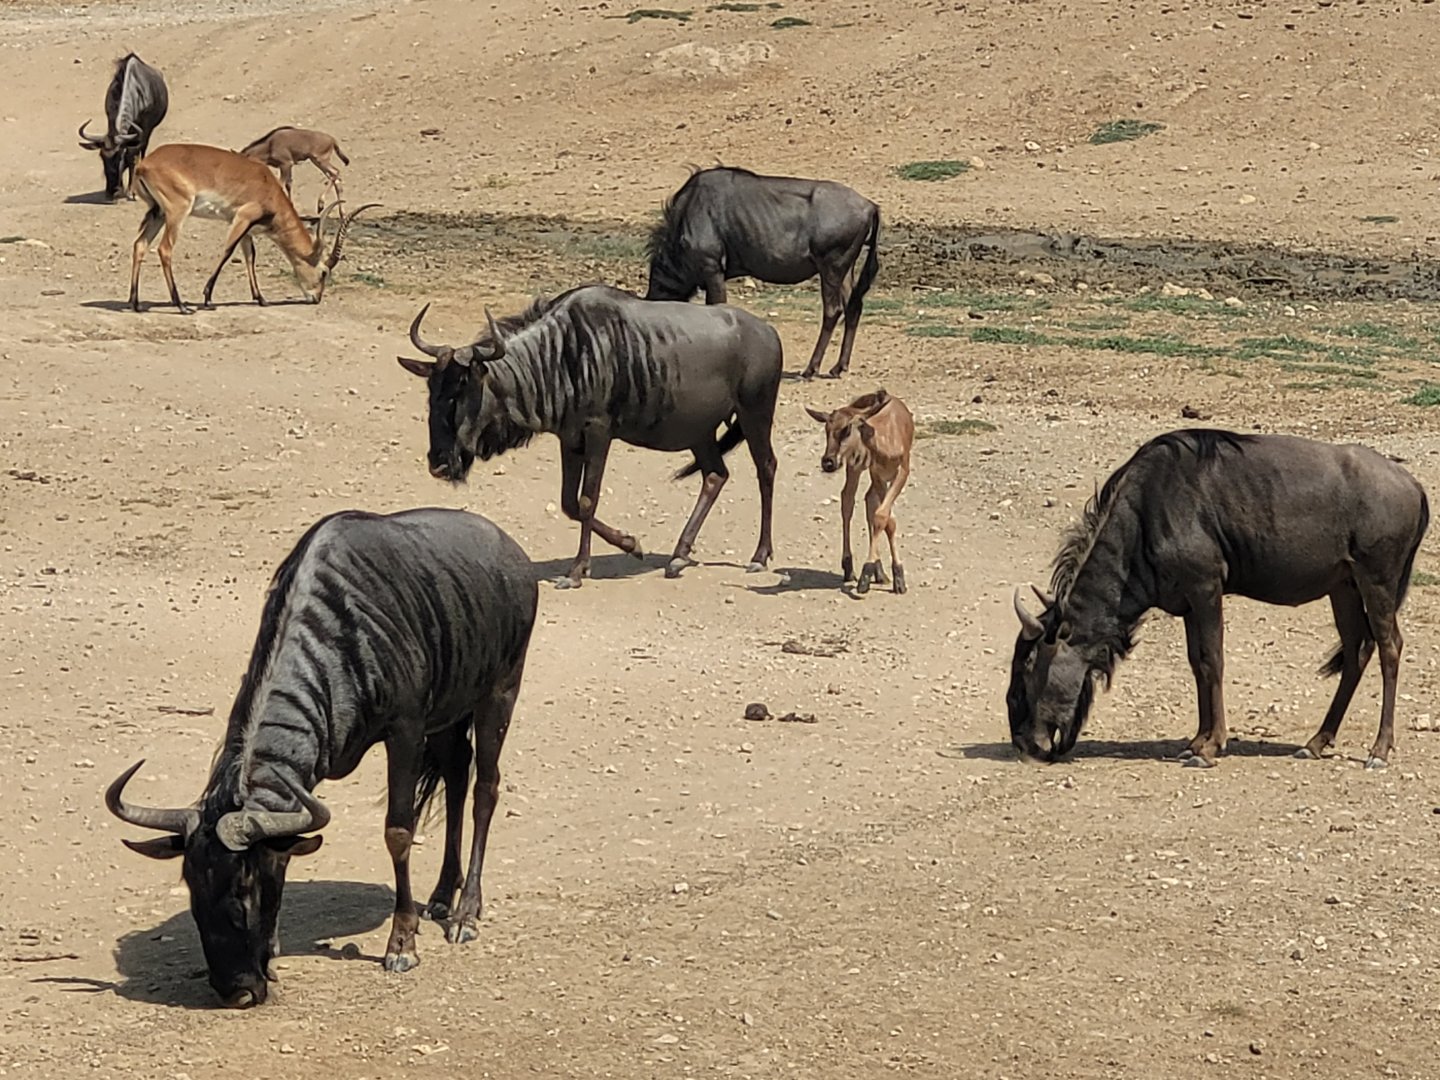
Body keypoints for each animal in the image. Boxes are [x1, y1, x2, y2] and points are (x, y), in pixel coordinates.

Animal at [127, 143, 378, 313]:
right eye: (324, 272)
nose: (316, 298)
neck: (268, 186)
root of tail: (144, 164)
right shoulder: (242, 217)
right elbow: (228, 252)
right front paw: (208, 299)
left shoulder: (246, 227)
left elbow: (250, 256)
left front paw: (261, 298)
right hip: (177, 212)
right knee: (164, 249)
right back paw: (181, 306)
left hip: (157, 213)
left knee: (139, 245)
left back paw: (135, 303)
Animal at [806, 389, 914, 594]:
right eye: (826, 430)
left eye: (847, 429)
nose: (828, 462)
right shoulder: (877, 474)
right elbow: (885, 518)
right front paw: (866, 577)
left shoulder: (901, 472)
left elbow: (884, 517)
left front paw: (897, 579)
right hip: (855, 465)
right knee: (848, 498)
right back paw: (849, 568)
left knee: (867, 499)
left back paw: (879, 573)